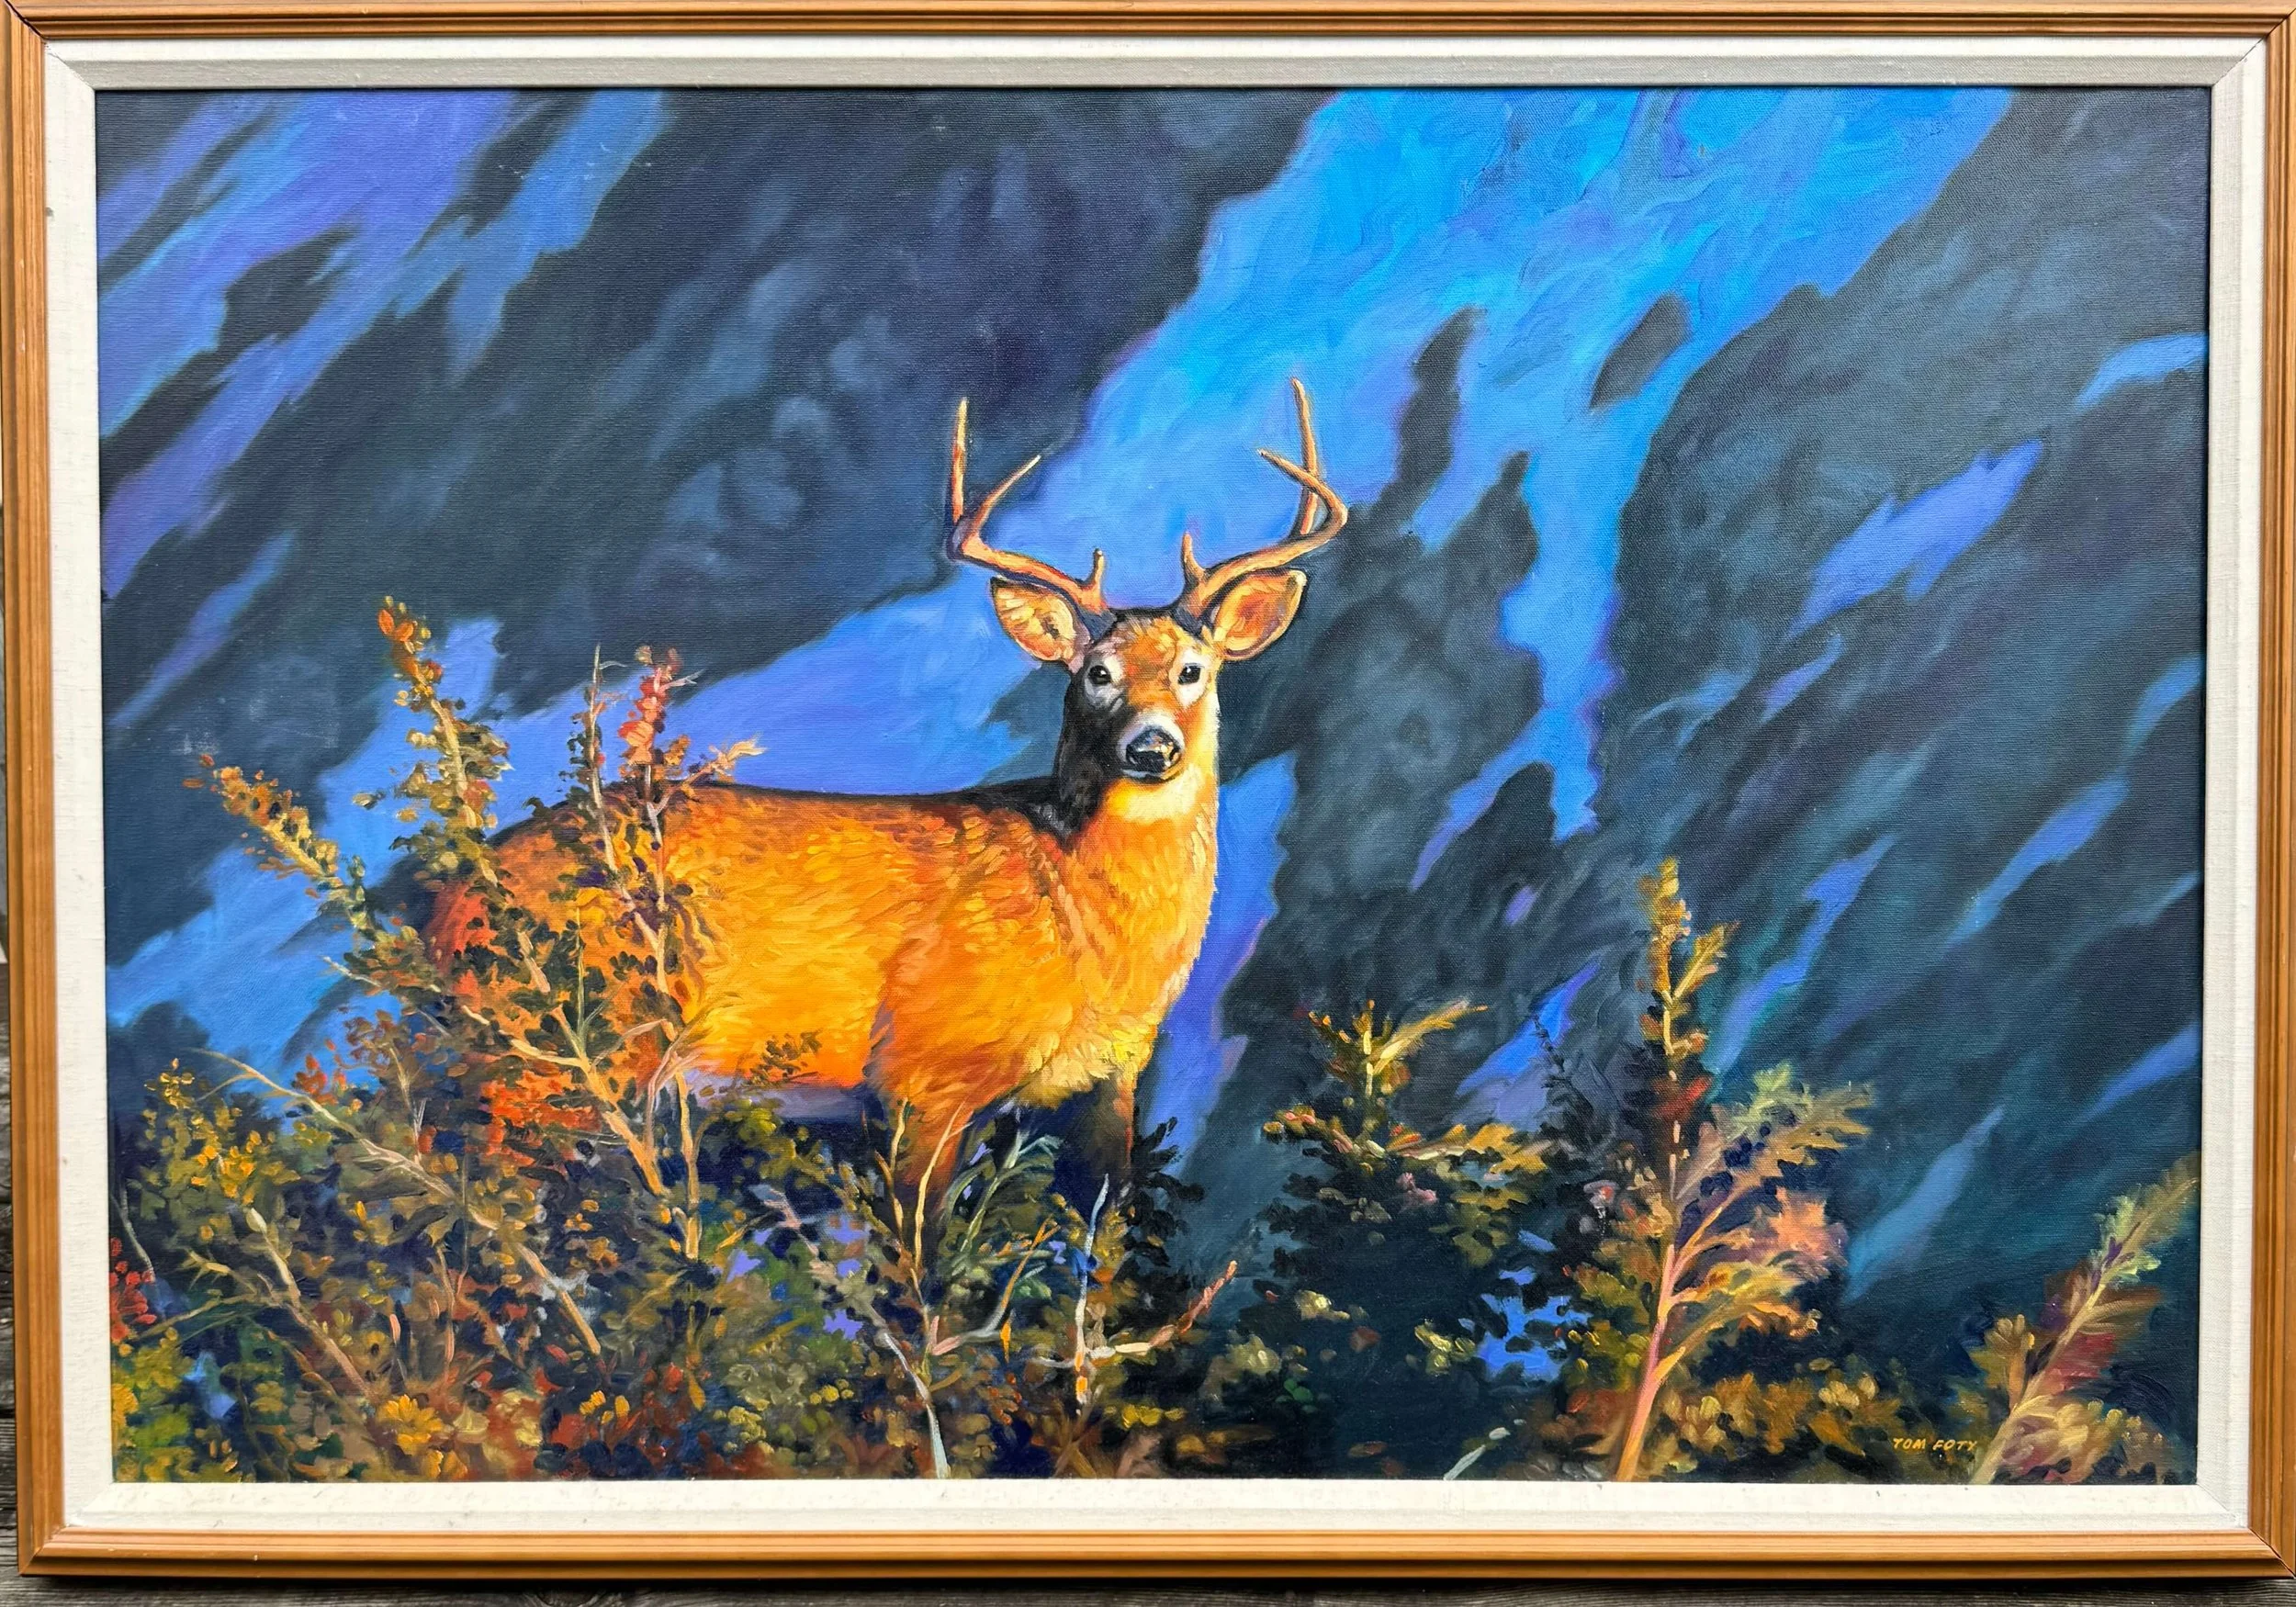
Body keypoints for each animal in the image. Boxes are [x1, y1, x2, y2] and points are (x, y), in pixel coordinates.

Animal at [434, 382, 1345, 1180]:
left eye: (1195, 669)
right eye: (1096, 674)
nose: (1152, 748)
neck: (1083, 923)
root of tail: (447, 898)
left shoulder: (1111, 1079)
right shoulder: (922, 1073)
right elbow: (921, 1267)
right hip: (557, 1053)